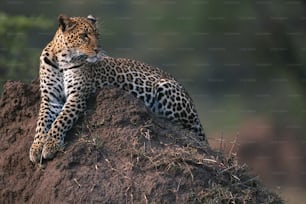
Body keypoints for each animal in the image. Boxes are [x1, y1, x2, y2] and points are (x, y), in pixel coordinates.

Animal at [29, 14, 208, 164]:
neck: (61, 60)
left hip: (167, 88)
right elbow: (42, 123)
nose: (98, 50)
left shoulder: (77, 95)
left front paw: (50, 145)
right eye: (84, 36)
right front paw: (36, 147)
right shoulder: (50, 98)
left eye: (98, 35)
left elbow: (61, 120)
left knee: (187, 130)